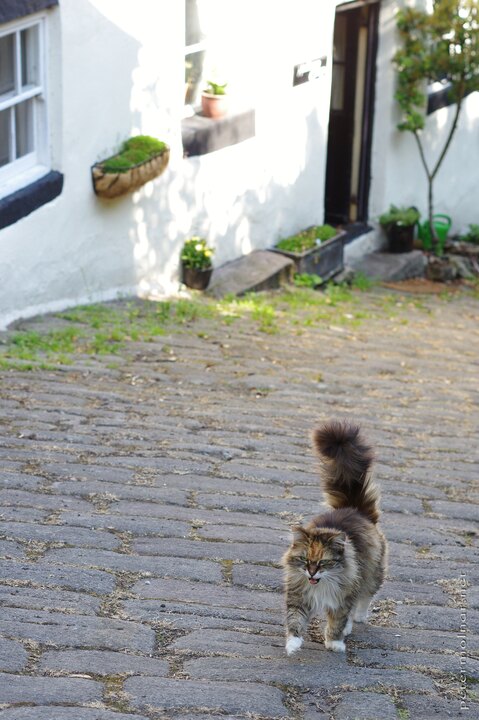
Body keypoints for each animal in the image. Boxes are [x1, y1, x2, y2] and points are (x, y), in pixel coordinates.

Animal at [284, 420, 388, 656]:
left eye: (323, 563)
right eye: (304, 560)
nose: (311, 572)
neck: (320, 585)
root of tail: (354, 509)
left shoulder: (342, 598)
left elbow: (337, 621)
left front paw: (334, 643)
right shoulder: (298, 595)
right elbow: (295, 621)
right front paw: (293, 645)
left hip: (372, 574)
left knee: (364, 598)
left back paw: (358, 618)